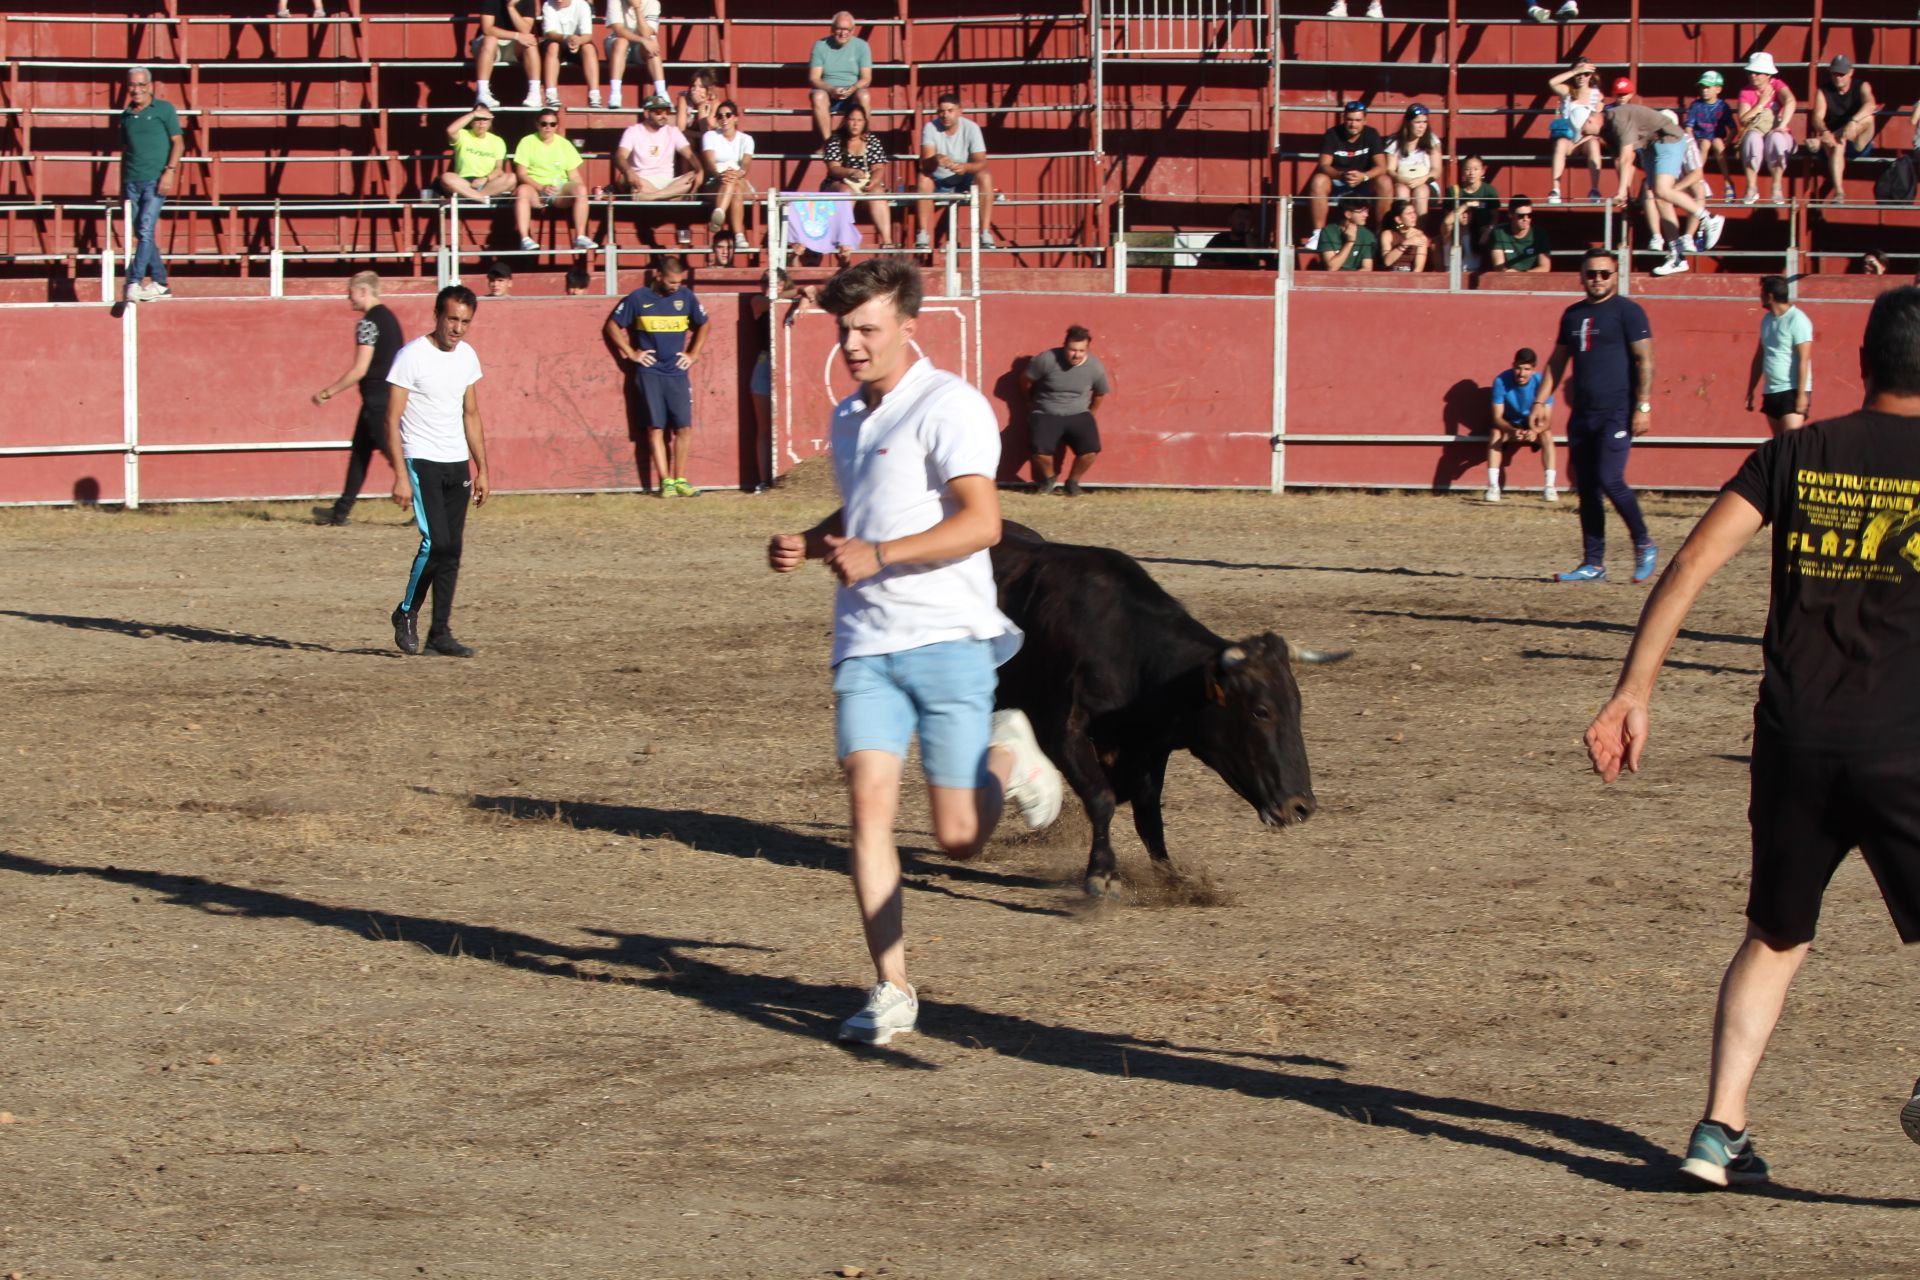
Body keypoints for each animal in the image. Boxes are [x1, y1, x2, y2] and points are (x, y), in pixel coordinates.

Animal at [998, 525, 1344, 898]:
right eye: (1260, 712)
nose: (1301, 806)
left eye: (1296, 706)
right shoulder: (1062, 732)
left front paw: (1171, 877)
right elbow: (1102, 797)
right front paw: (1102, 874)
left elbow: (1149, 815)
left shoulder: (1149, 747)